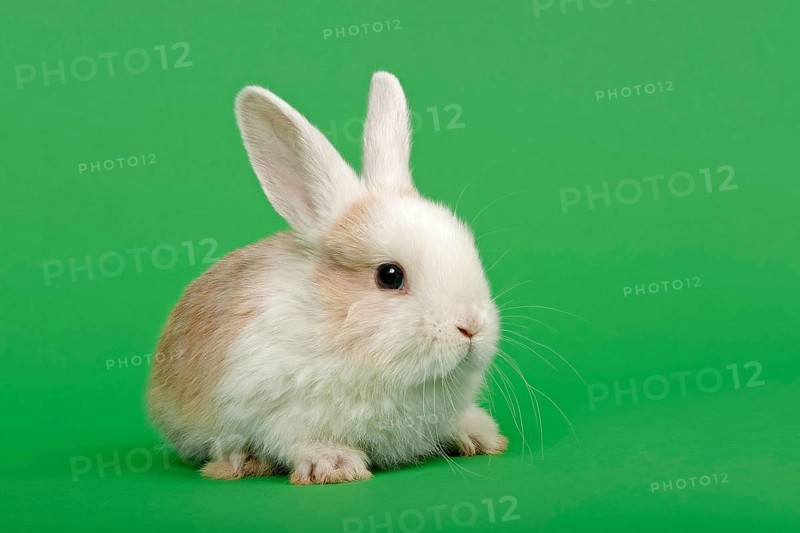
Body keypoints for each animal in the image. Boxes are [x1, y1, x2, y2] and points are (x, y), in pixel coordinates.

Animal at [146, 71, 506, 484]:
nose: (471, 327)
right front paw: (335, 465)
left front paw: (480, 434)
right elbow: (297, 438)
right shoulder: (276, 407)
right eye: (390, 275)